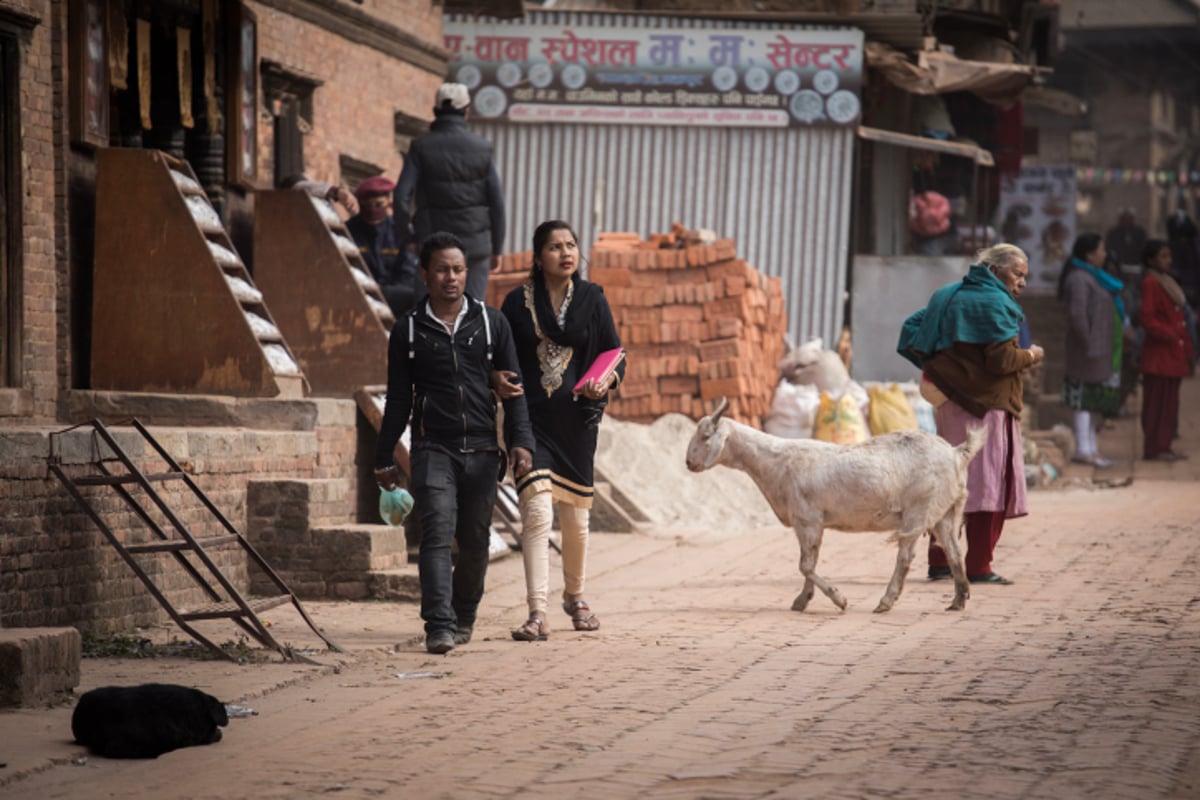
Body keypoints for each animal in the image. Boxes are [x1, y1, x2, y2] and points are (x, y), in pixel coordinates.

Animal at [686, 398, 984, 614]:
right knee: (953, 549)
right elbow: (810, 562)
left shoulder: (807, 520)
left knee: (906, 556)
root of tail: (956, 453)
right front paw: (802, 600)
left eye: (705, 436)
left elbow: (805, 565)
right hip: (946, 511)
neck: (775, 461)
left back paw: (886, 601)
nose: (689, 463)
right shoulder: (811, 524)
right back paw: (958, 600)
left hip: (918, 509)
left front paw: (839, 599)